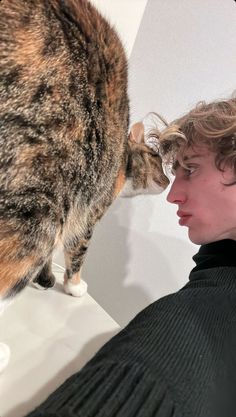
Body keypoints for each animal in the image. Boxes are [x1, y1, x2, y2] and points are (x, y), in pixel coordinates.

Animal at [0, 0, 170, 370]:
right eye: (155, 156)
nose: (168, 180)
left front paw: (46, 279)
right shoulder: (90, 209)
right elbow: (78, 251)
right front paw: (74, 285)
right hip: (40, 207)